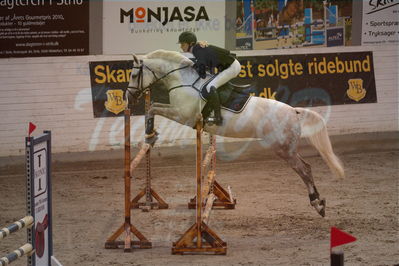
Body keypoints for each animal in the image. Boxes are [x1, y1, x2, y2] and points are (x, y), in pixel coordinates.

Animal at [126, 48, 346, 217]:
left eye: (135, 75)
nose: (129, 97)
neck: (182, 80)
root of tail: (294, 111)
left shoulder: (183, 115)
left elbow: (153, 108)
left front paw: (150, 134)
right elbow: (153, 106)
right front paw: (151, 135)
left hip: (284, 149)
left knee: (305, 170)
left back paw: (317, 204)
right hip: (286, 148)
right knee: (306, 168)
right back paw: (319, 203)